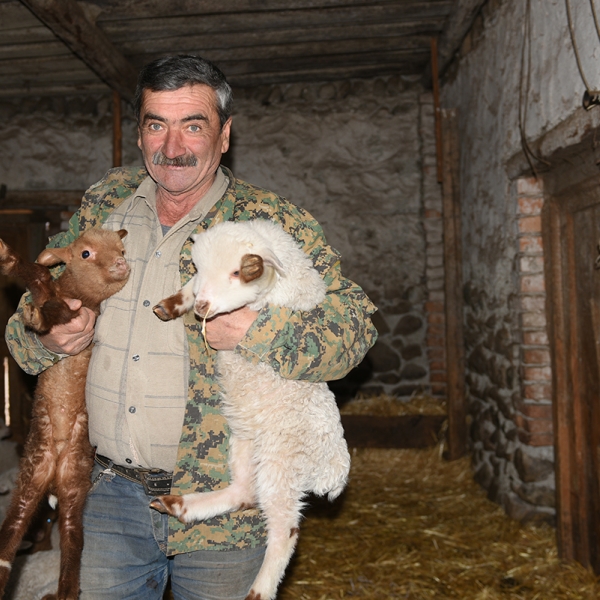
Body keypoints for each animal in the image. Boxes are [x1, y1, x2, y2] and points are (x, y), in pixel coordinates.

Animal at [0, 228, 130, 600]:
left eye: (121, 248)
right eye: (85, 253)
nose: (121, 263)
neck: (80, 296)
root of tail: (55, 471)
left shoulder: (79, 314)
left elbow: (47, 293)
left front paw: (36, 318)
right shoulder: (61, 300)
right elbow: (39, 277)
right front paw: (8, 258)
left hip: (75, 483)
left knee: (72, 539)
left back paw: (63, 592)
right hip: (32, 473)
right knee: (15, 528)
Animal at [151, 219, 351, 600]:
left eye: (235, 272)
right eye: (199, 267)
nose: (202, 307)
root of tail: (334, 468)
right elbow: (187, 287)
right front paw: (172, 303)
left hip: (282, 462)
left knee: (285, 530)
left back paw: (259, 590)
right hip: (245, 442)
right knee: (244, 493)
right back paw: (182, 505)